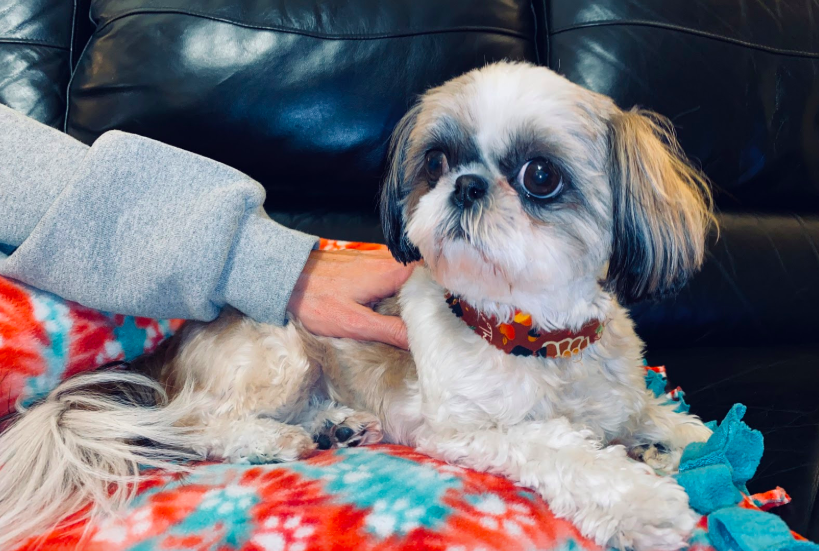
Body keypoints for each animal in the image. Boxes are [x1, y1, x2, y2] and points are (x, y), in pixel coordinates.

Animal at [0, 61, 716, 551]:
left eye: (541, 176)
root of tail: (162, 360)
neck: (532, 336)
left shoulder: (616, 393)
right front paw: (642, 503)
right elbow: (558, 447)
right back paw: (270, 439)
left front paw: (671, 438)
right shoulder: (464, 429)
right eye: (437, 161)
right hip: (281, 352)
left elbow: (664, 418)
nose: (466, 185)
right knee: (192, 422)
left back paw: (335, 428)